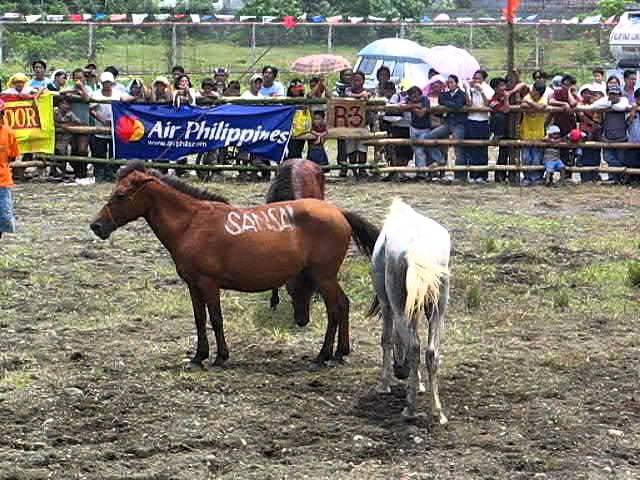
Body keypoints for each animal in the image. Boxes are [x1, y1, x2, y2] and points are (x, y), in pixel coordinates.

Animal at [368, 199, 452, 424]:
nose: (401, 372)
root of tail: (417, 250)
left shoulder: (387, 305)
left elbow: (387, 339)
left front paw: (384, 384)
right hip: (437, 310)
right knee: (431, 353)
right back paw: (437, 412)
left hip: (397, 306)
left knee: (414, 347)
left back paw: (410, 409)